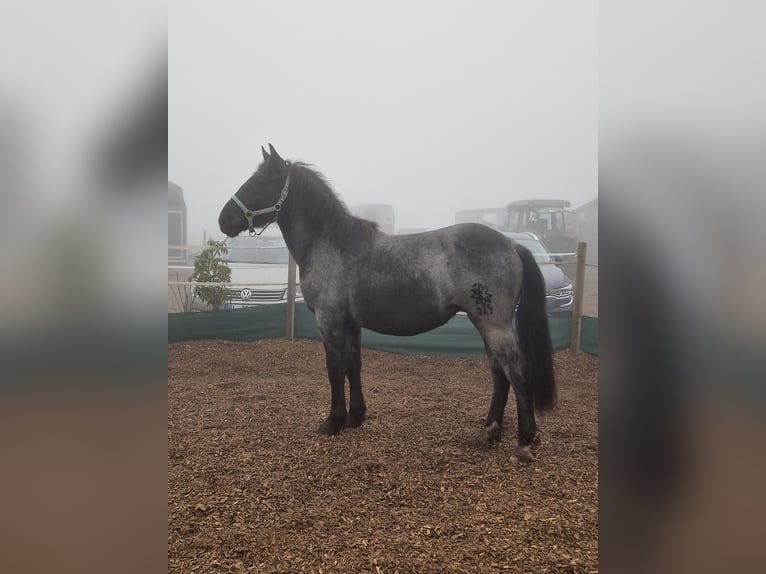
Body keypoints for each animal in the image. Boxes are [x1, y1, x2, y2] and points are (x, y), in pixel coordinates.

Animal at [218, 144, 560, 464]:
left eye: (262, 180)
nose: (224, 220)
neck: (331, 244)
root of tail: (512, 244)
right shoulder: (350, 324)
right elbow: (353, 367)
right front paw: (355, 417)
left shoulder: (330, 322)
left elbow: (334, 370)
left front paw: (332, 422)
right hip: (485, 324)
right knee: (499, 375)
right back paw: (489, 433)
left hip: (494, 325)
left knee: (517, 373)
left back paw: (524, 442)